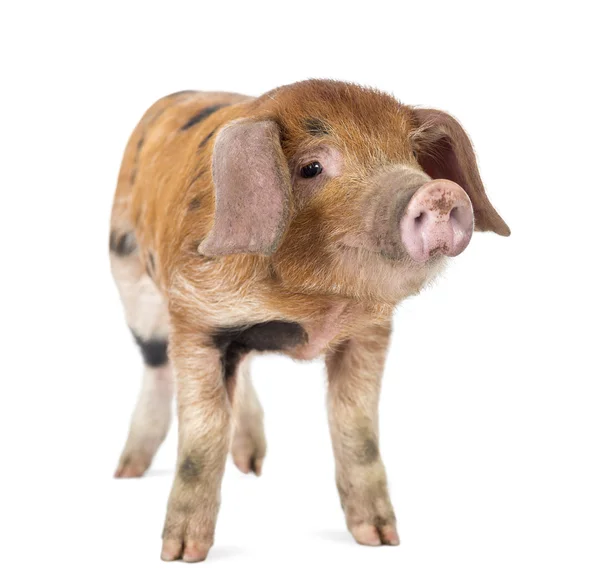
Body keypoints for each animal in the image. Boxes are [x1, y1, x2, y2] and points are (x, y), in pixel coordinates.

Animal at [109, 78, 510, 560]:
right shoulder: (196, 319)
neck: (312, 308)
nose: (439, 192)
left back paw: (253, 465)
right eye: (312, 167)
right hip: (127, 269)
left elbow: (357, 428)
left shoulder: (368, 332)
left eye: (412, 157)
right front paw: (181, 554)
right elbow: (203, 436)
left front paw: (381, 540)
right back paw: (126, 471)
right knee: (154, 361)